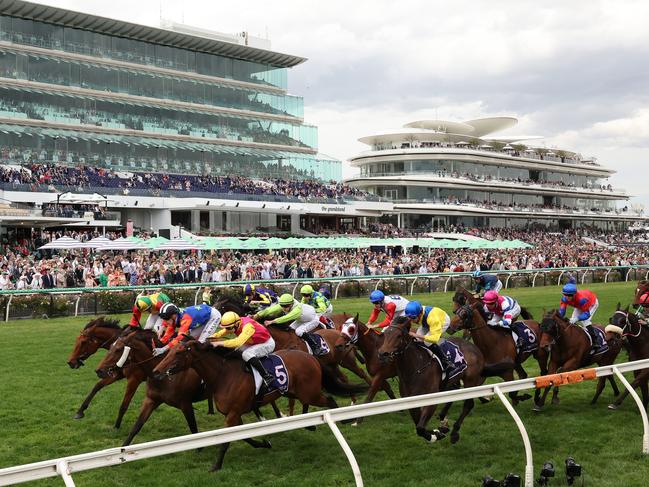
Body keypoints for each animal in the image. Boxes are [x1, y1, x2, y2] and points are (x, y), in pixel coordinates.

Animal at [151, 336, 364, 472]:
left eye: (179, 353)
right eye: (169, 351)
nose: (156, 371)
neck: (223, 374)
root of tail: (311, 357)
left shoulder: (233, 413)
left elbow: (225, 441)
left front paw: (216, 466)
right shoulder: (233, 414)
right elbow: (245, 437)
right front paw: (264, 443)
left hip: (310, 392)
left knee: (329, 400)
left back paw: (342, 419)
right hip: (295, 390)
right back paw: (311, 424)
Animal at [374, 316, 486, 446]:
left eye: (398, 336)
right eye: (385, 334)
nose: (382, 354)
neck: (415, 368)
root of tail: (475, 347)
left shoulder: (431, 399)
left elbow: (420, 428)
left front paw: (435, 435)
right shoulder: (411, 401)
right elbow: (418, 423)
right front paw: (438, 432)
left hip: (470, 381)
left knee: (468, 404)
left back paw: (454, 433)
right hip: (452, 380)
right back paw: (443, 419)